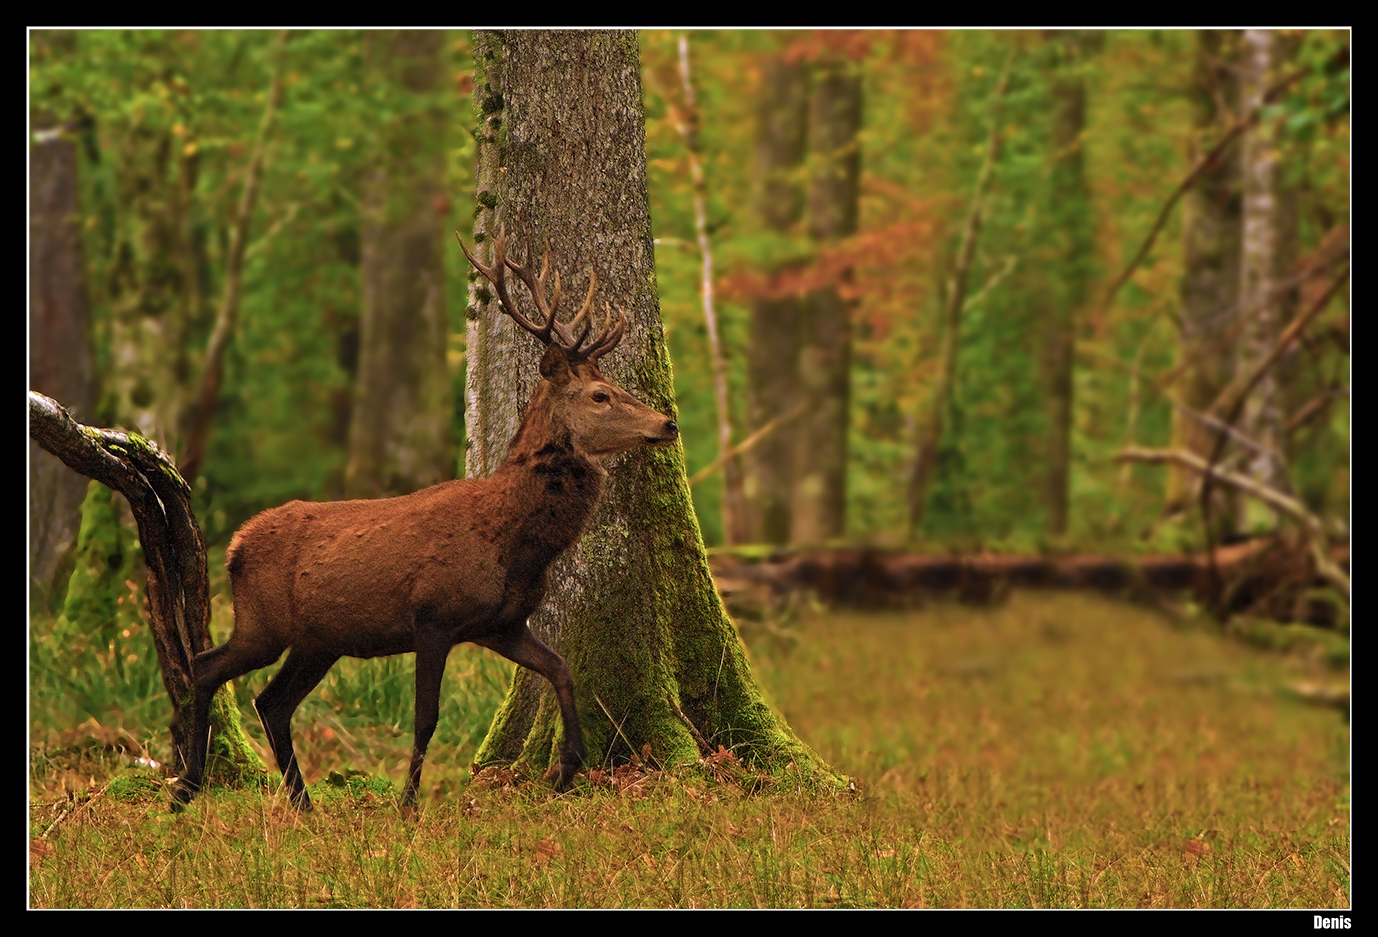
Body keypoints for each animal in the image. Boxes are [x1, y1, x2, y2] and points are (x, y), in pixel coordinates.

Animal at [175, 230, 680, 810]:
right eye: (601, 395)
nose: (668, 423)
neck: (516, 543)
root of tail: (234, 546)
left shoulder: (502, 624)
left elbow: (562, 668)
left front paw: (568, 767)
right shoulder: (433, 615)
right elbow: (426, 717)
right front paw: (408, 804)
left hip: (318, 639)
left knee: (271, 701)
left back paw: (301, 801)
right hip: (263, 622)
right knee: (207, 667)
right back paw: (187, 787)